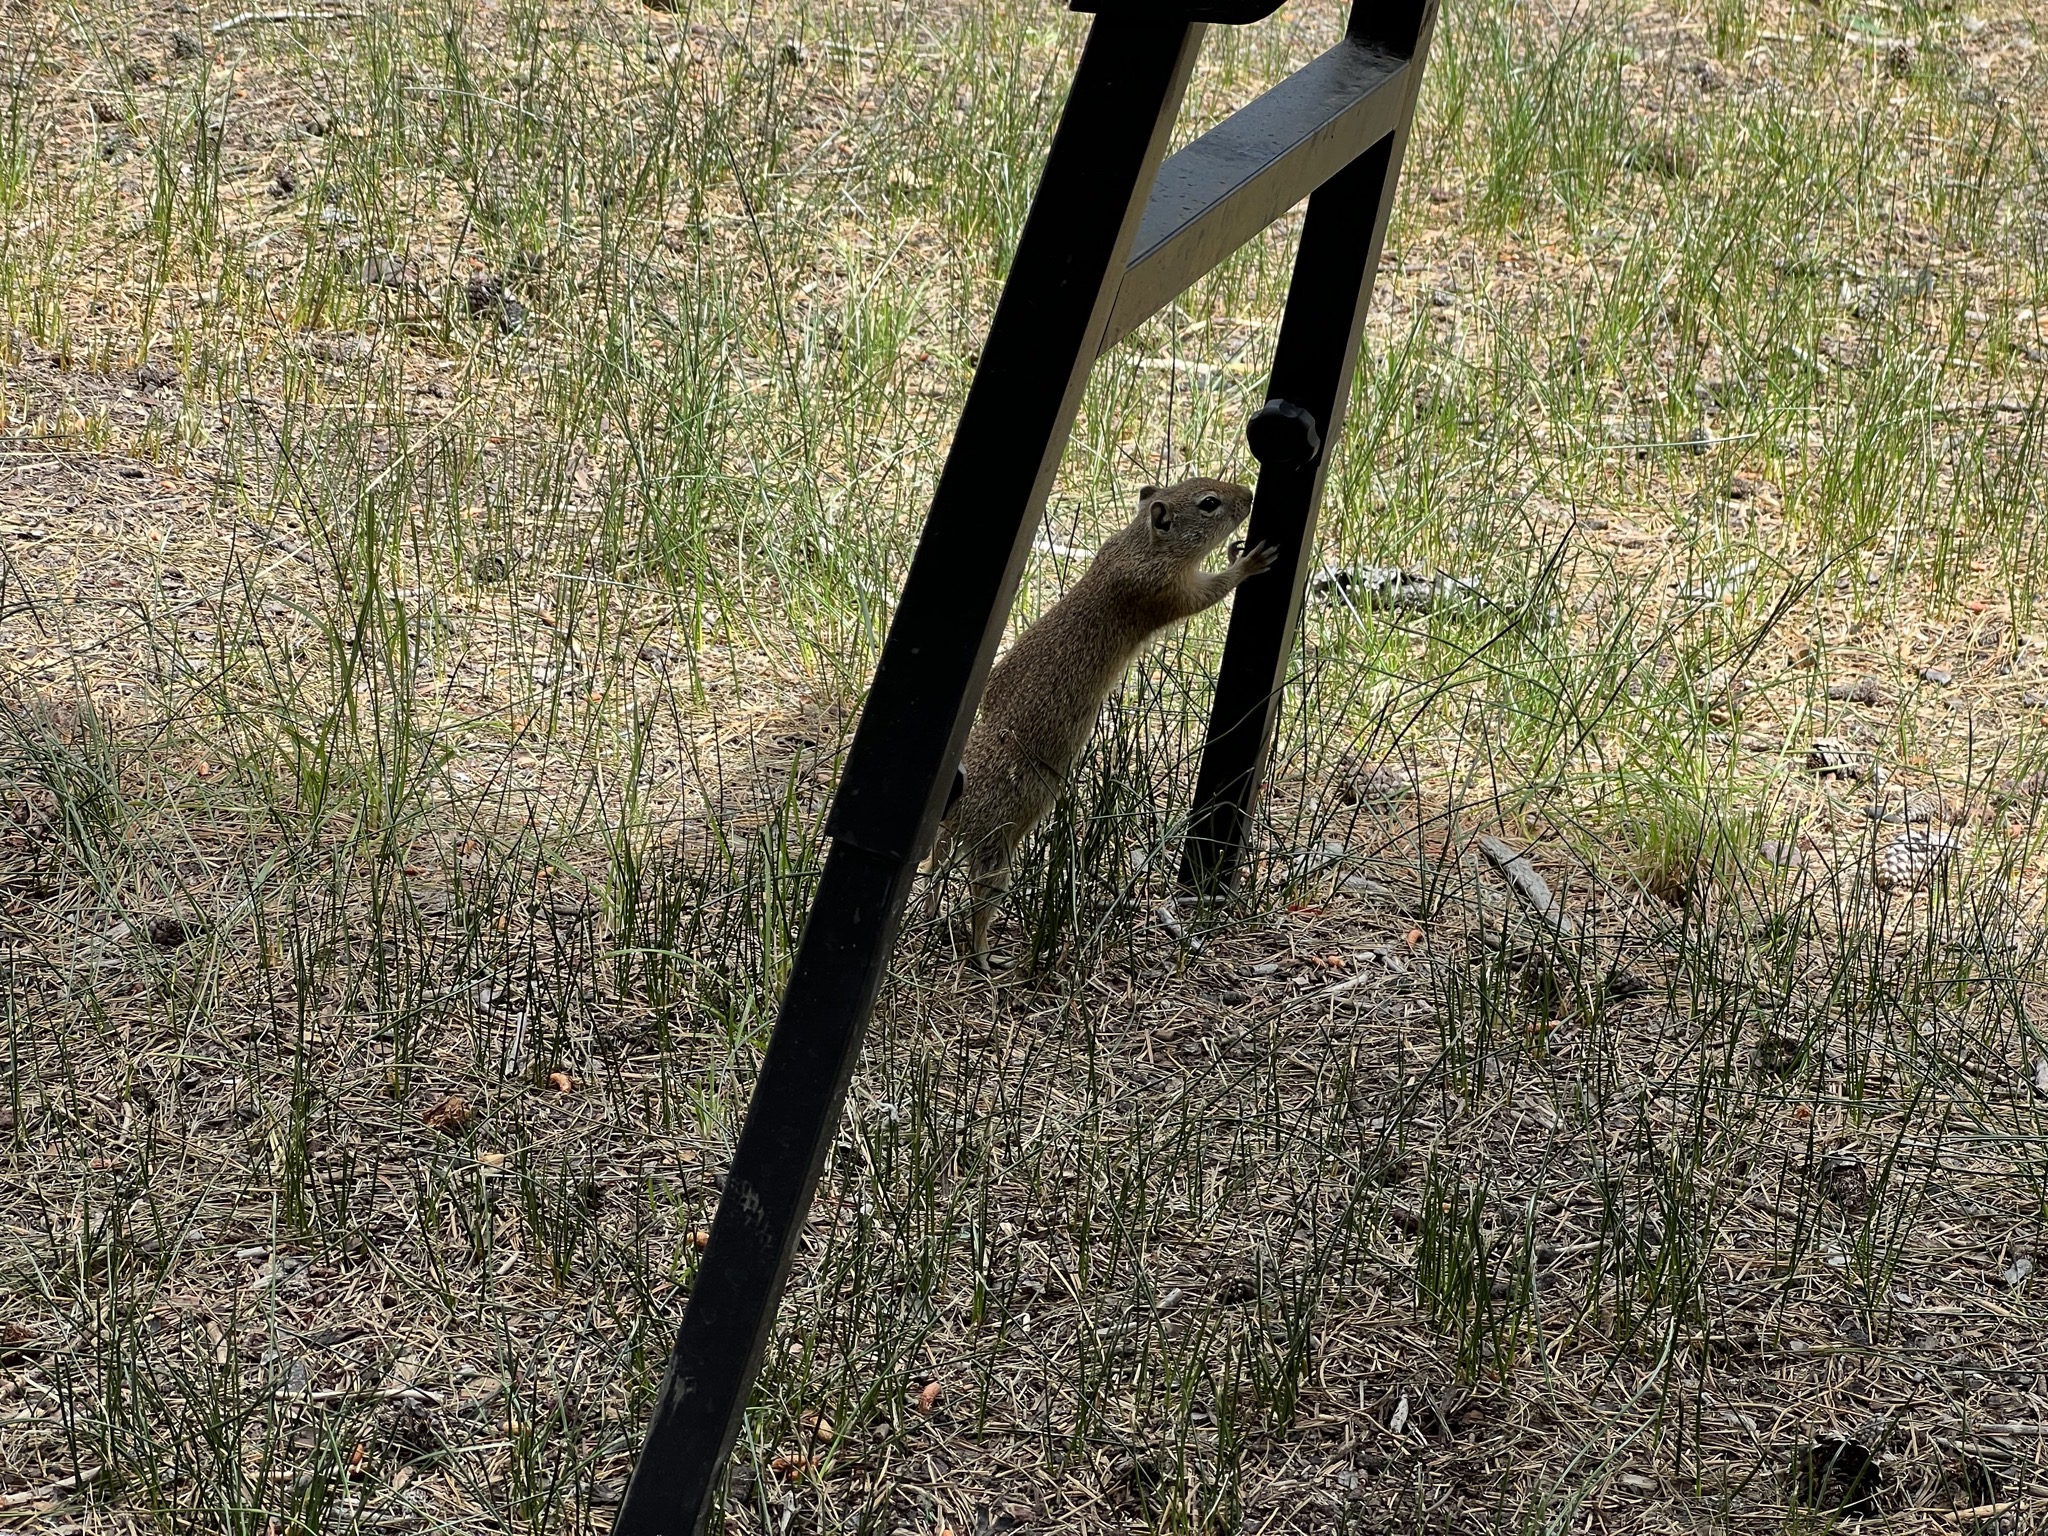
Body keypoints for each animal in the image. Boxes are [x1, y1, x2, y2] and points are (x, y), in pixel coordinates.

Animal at [926, 476, 1276, 969]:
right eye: (1209, 503)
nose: (1247, 495)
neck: (1138, 546)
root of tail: (955, 805)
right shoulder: (1165, 591)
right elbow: (1210, 593)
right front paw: (1248, 562)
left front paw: (1234, 551)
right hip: (996, 851)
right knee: (979, 902)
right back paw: (985, 956)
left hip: (956, 845)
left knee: (934, 869)